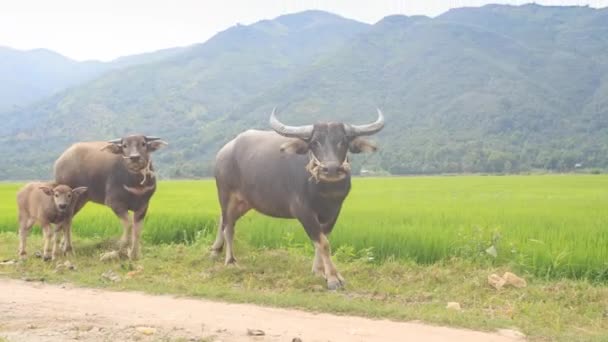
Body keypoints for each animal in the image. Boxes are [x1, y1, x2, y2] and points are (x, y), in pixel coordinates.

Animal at [211, 107, 382, 288]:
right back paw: (230, 260)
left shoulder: (334, 212)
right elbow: (323, 243)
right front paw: (333, 278)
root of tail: (223, 152)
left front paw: (318, 271)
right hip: (225, 195)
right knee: (228, 226)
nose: (331, 169)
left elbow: (322, 240)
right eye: (314, 142)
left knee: (223, 219)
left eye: (343, 141)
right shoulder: (304, 212)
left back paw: (215, 250)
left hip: (245, 202)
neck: (324, 191)